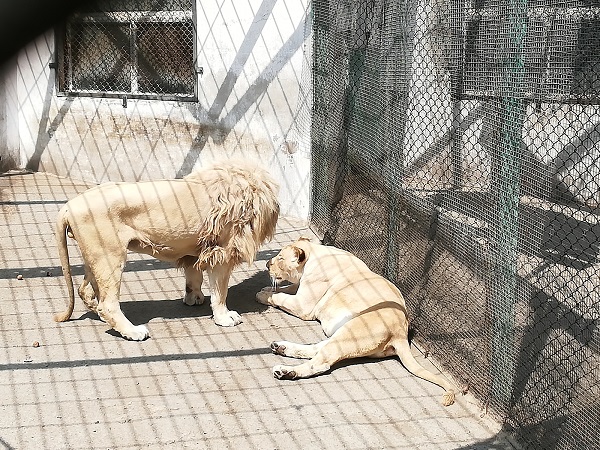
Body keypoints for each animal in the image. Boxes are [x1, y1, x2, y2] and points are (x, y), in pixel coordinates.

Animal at [55, 160, 280, 340]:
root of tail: (68, 205)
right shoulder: (222, 251)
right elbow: (220, 291)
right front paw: (224, 317)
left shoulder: (196, 249)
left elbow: (194, 276)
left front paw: (193, 298)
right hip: (110, 255)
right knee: (108, 304)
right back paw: (132, 331)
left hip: (95, 255)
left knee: (86, 290)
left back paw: (100, 315)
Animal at [256, 237, 454, 406]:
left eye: (280, 258)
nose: (266, 264)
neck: (314, 254)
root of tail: (401, 333)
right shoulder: (299, 291)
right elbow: (285, 288)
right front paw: (266, 288)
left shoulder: (303, 305)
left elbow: (281, 296)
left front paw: (263, 295)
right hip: (344, 333)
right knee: (316, 349)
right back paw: (281, 347)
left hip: (352, 331)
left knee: (320, 363)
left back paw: (286, 371)